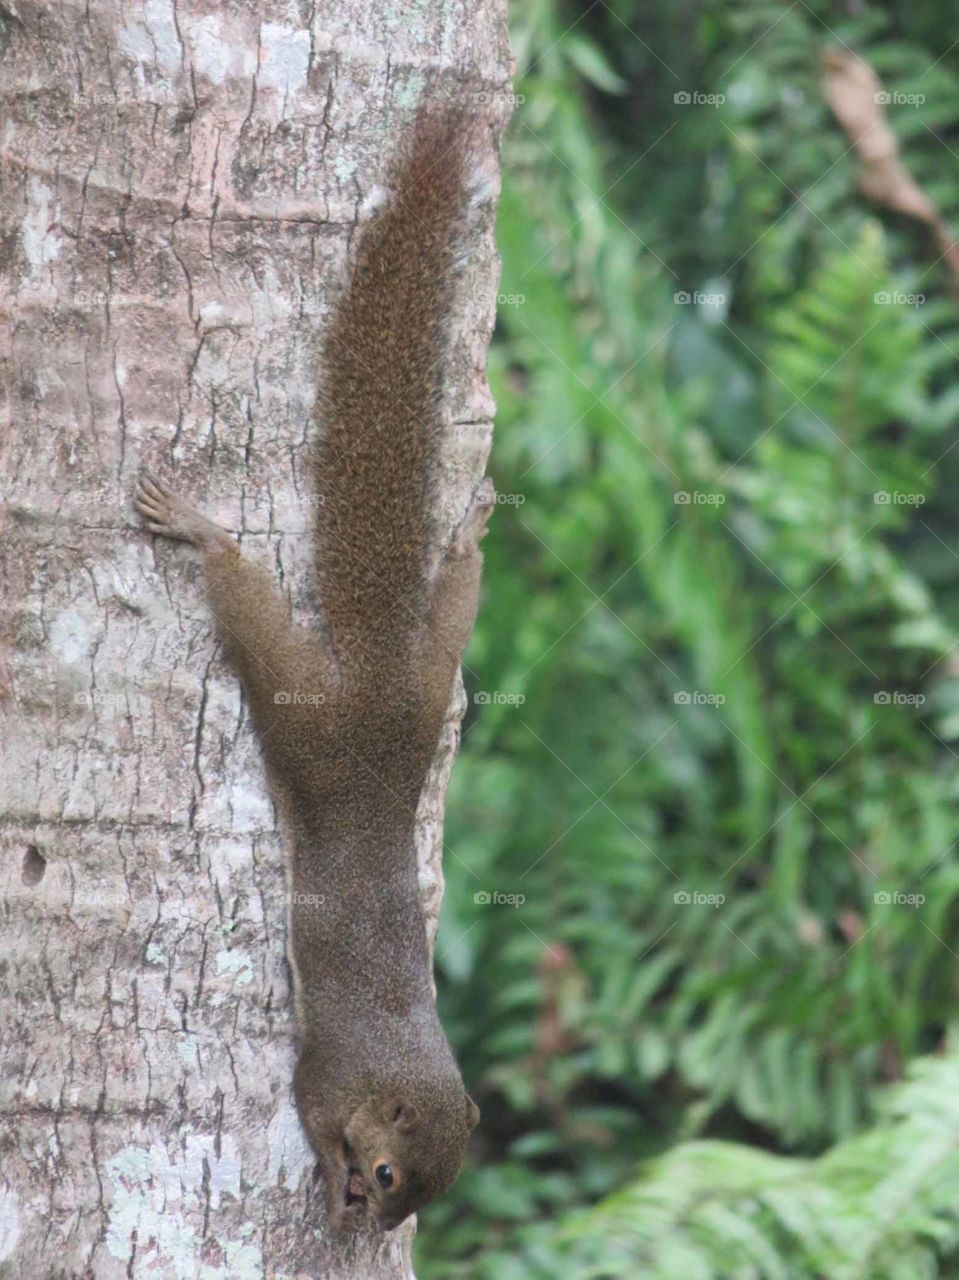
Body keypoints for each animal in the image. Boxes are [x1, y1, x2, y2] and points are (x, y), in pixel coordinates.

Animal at [135, 108, 491, 1232]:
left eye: (419, 1194)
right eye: (382, 1176)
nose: (367, 1220)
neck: (399, 1065)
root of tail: (375, 694)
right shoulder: (326, 1079)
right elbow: (303, 1102)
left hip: (429, 682)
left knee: (451, 611)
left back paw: (467, 534)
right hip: (305, 708)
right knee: (250, 609)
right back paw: (202, 531)